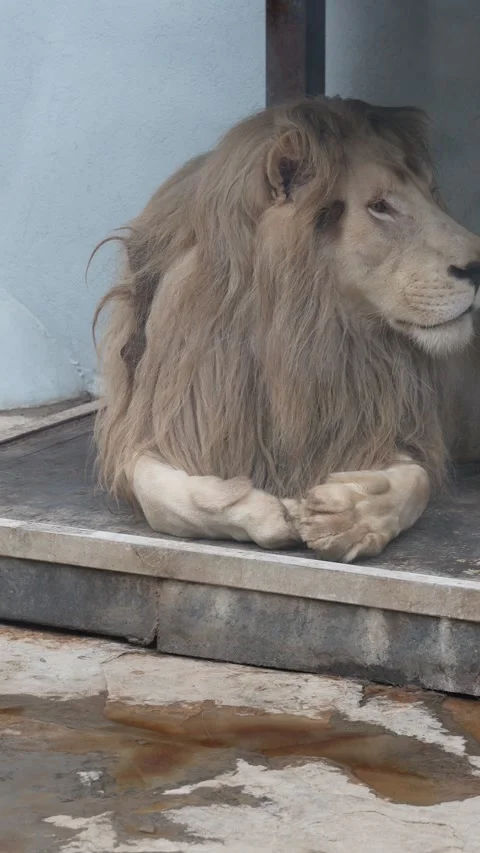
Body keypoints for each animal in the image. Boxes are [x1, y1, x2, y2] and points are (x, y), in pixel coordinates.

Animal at [93, 96, 480, 563]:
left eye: (431, 193)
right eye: (380, 206)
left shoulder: (405, 426)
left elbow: (414, 482)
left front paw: (351, 515)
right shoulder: (145, 422)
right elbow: (160, 495)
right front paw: (263, 511)